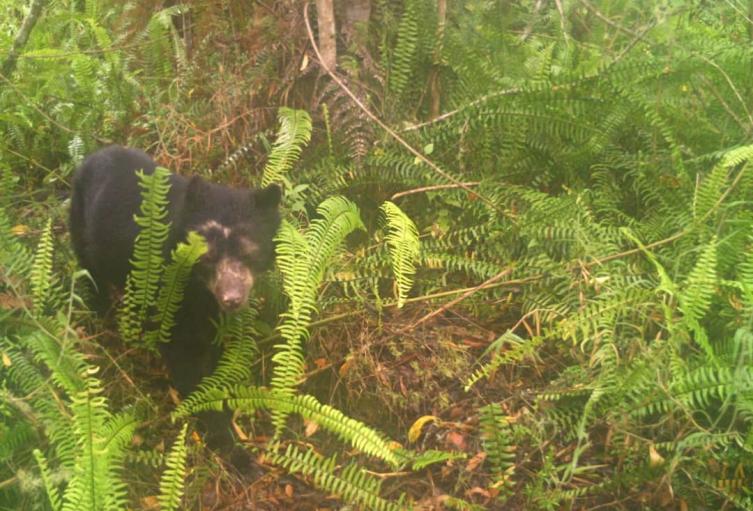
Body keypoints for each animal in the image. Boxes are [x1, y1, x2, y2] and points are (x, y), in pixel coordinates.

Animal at [69, 144, 280, 448]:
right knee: (91, 271)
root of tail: (94, 155)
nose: (232, 298)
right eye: (207, 256)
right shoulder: (170, 294)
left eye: (248, 252)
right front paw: (226, 438)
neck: (199, 286)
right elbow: (182, 355)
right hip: (80, 226)